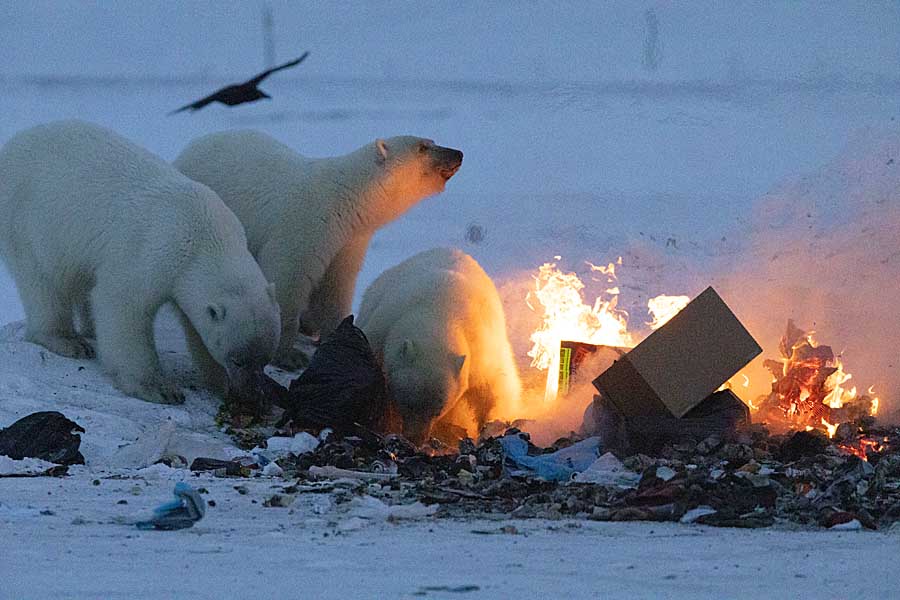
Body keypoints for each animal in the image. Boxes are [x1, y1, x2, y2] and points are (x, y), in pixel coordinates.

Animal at [0, 120, 280, 406]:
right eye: (237, 360)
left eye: (265, 360)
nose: (252, 394)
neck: (205, 234)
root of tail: (14, 144)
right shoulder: (153, 251)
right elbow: (123, 304)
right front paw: (158, 388)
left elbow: (194, 326)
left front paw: (218, 382)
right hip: (29, 222)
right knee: (44, 282)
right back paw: (67, 340)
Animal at [174, 131, 464, 368]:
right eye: (423, 147)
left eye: (433, 141)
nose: (458, 153)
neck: (343, 198)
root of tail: (190, 146)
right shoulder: (305, 224)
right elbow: (288, 281)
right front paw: (289, 355)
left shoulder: (349, 240)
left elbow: (336, 287)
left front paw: (336, 336)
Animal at [354, 247, 520, 440]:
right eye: (408, 404)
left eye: (437, 411)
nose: (416, 439)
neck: (439, 311)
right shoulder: (384, 324)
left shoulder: (481, 344)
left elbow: (493, 385)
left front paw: (489, 427)